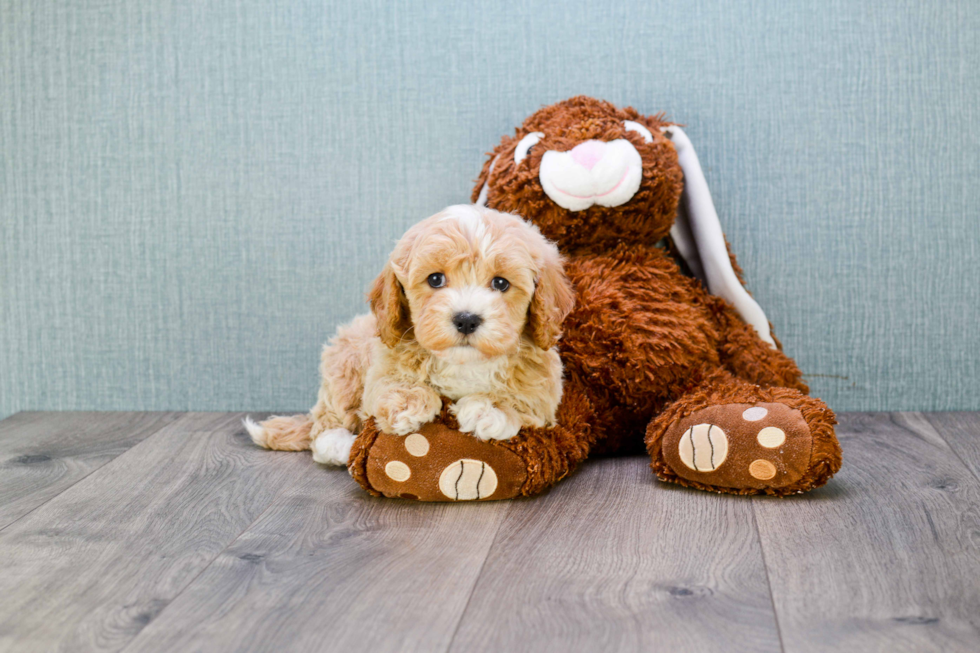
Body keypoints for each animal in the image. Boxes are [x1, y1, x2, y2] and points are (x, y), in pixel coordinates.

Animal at [245, 204, 580, 464]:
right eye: (435, 279)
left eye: (500, 283)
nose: (466, 319)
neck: (464, 363)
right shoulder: (381, 369)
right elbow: (392, 384)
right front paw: (408, 405)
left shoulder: (543, 390)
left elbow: (522, 401)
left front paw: (488, 409)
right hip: (344, 364)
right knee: (327, 419)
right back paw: (342, 446)